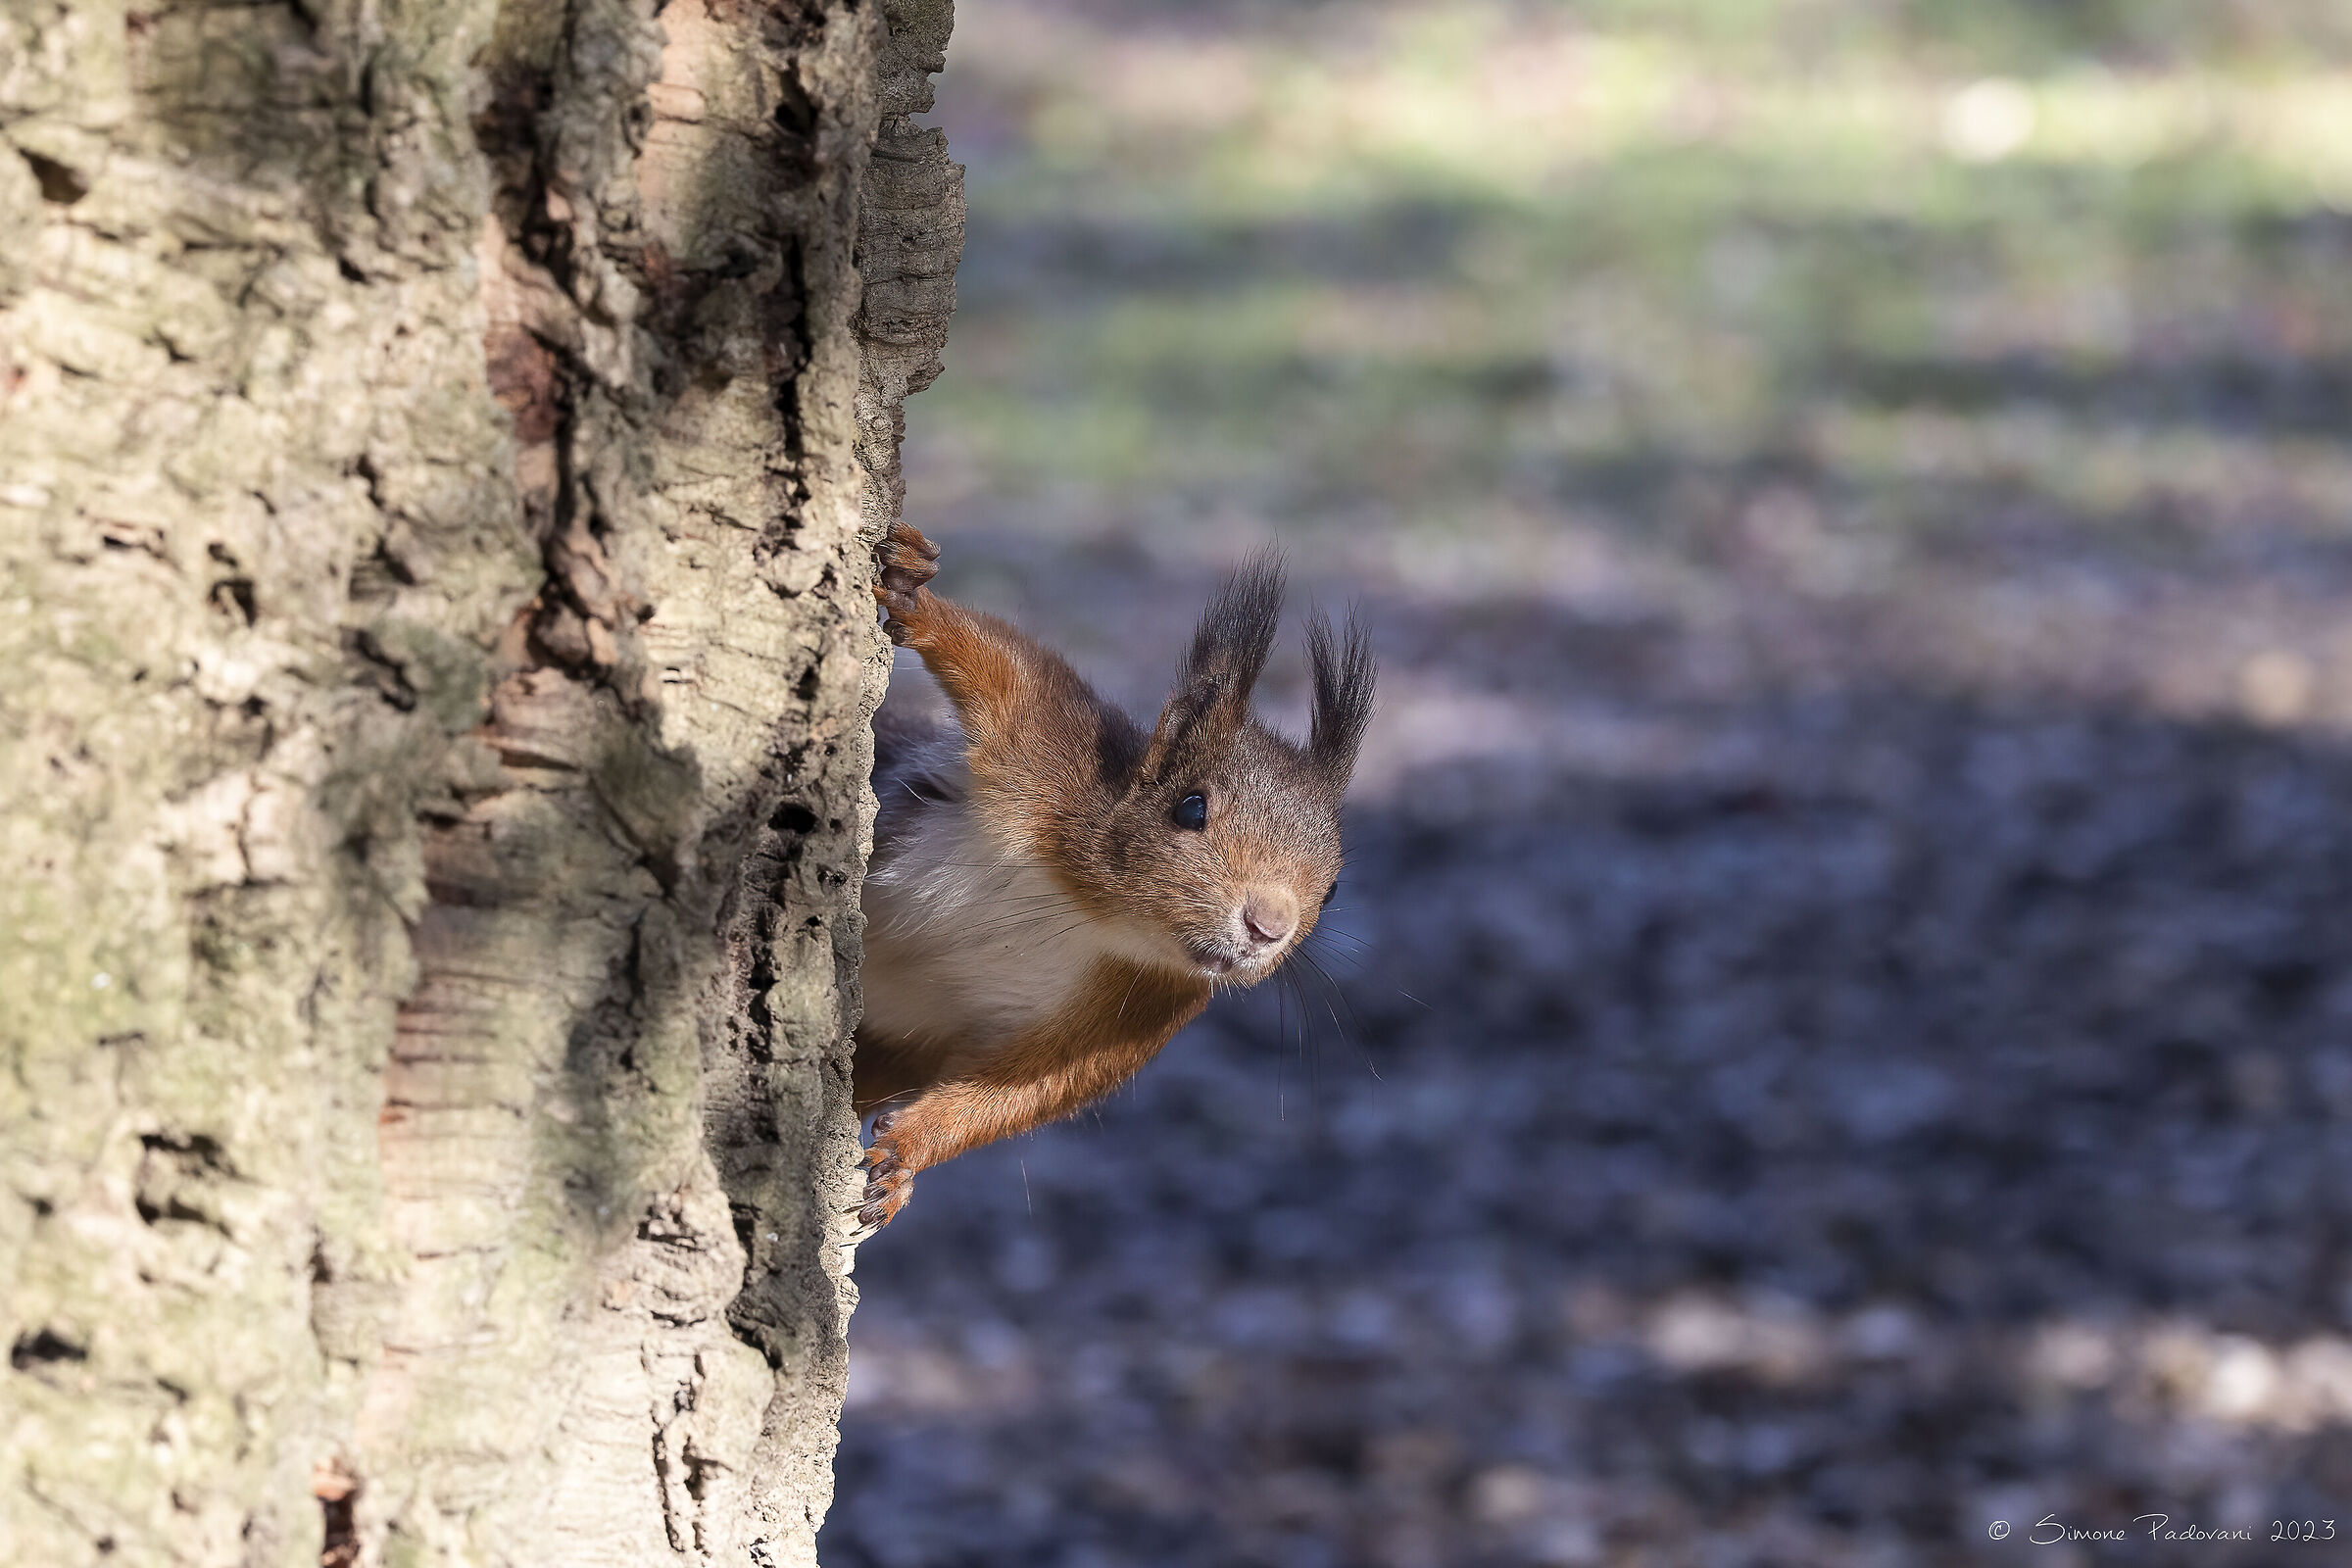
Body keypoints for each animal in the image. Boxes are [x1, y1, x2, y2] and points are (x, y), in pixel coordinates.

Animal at [852, 522, 1375, 1229]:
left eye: (1334, 886)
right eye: (1191, 808)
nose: (1268, 927)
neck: (1098, 912)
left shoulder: (1144, 1008)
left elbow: (1017, 1091)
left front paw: (907, 1153)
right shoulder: (1050, 757)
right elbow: (1010, 672)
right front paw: (913, 589)